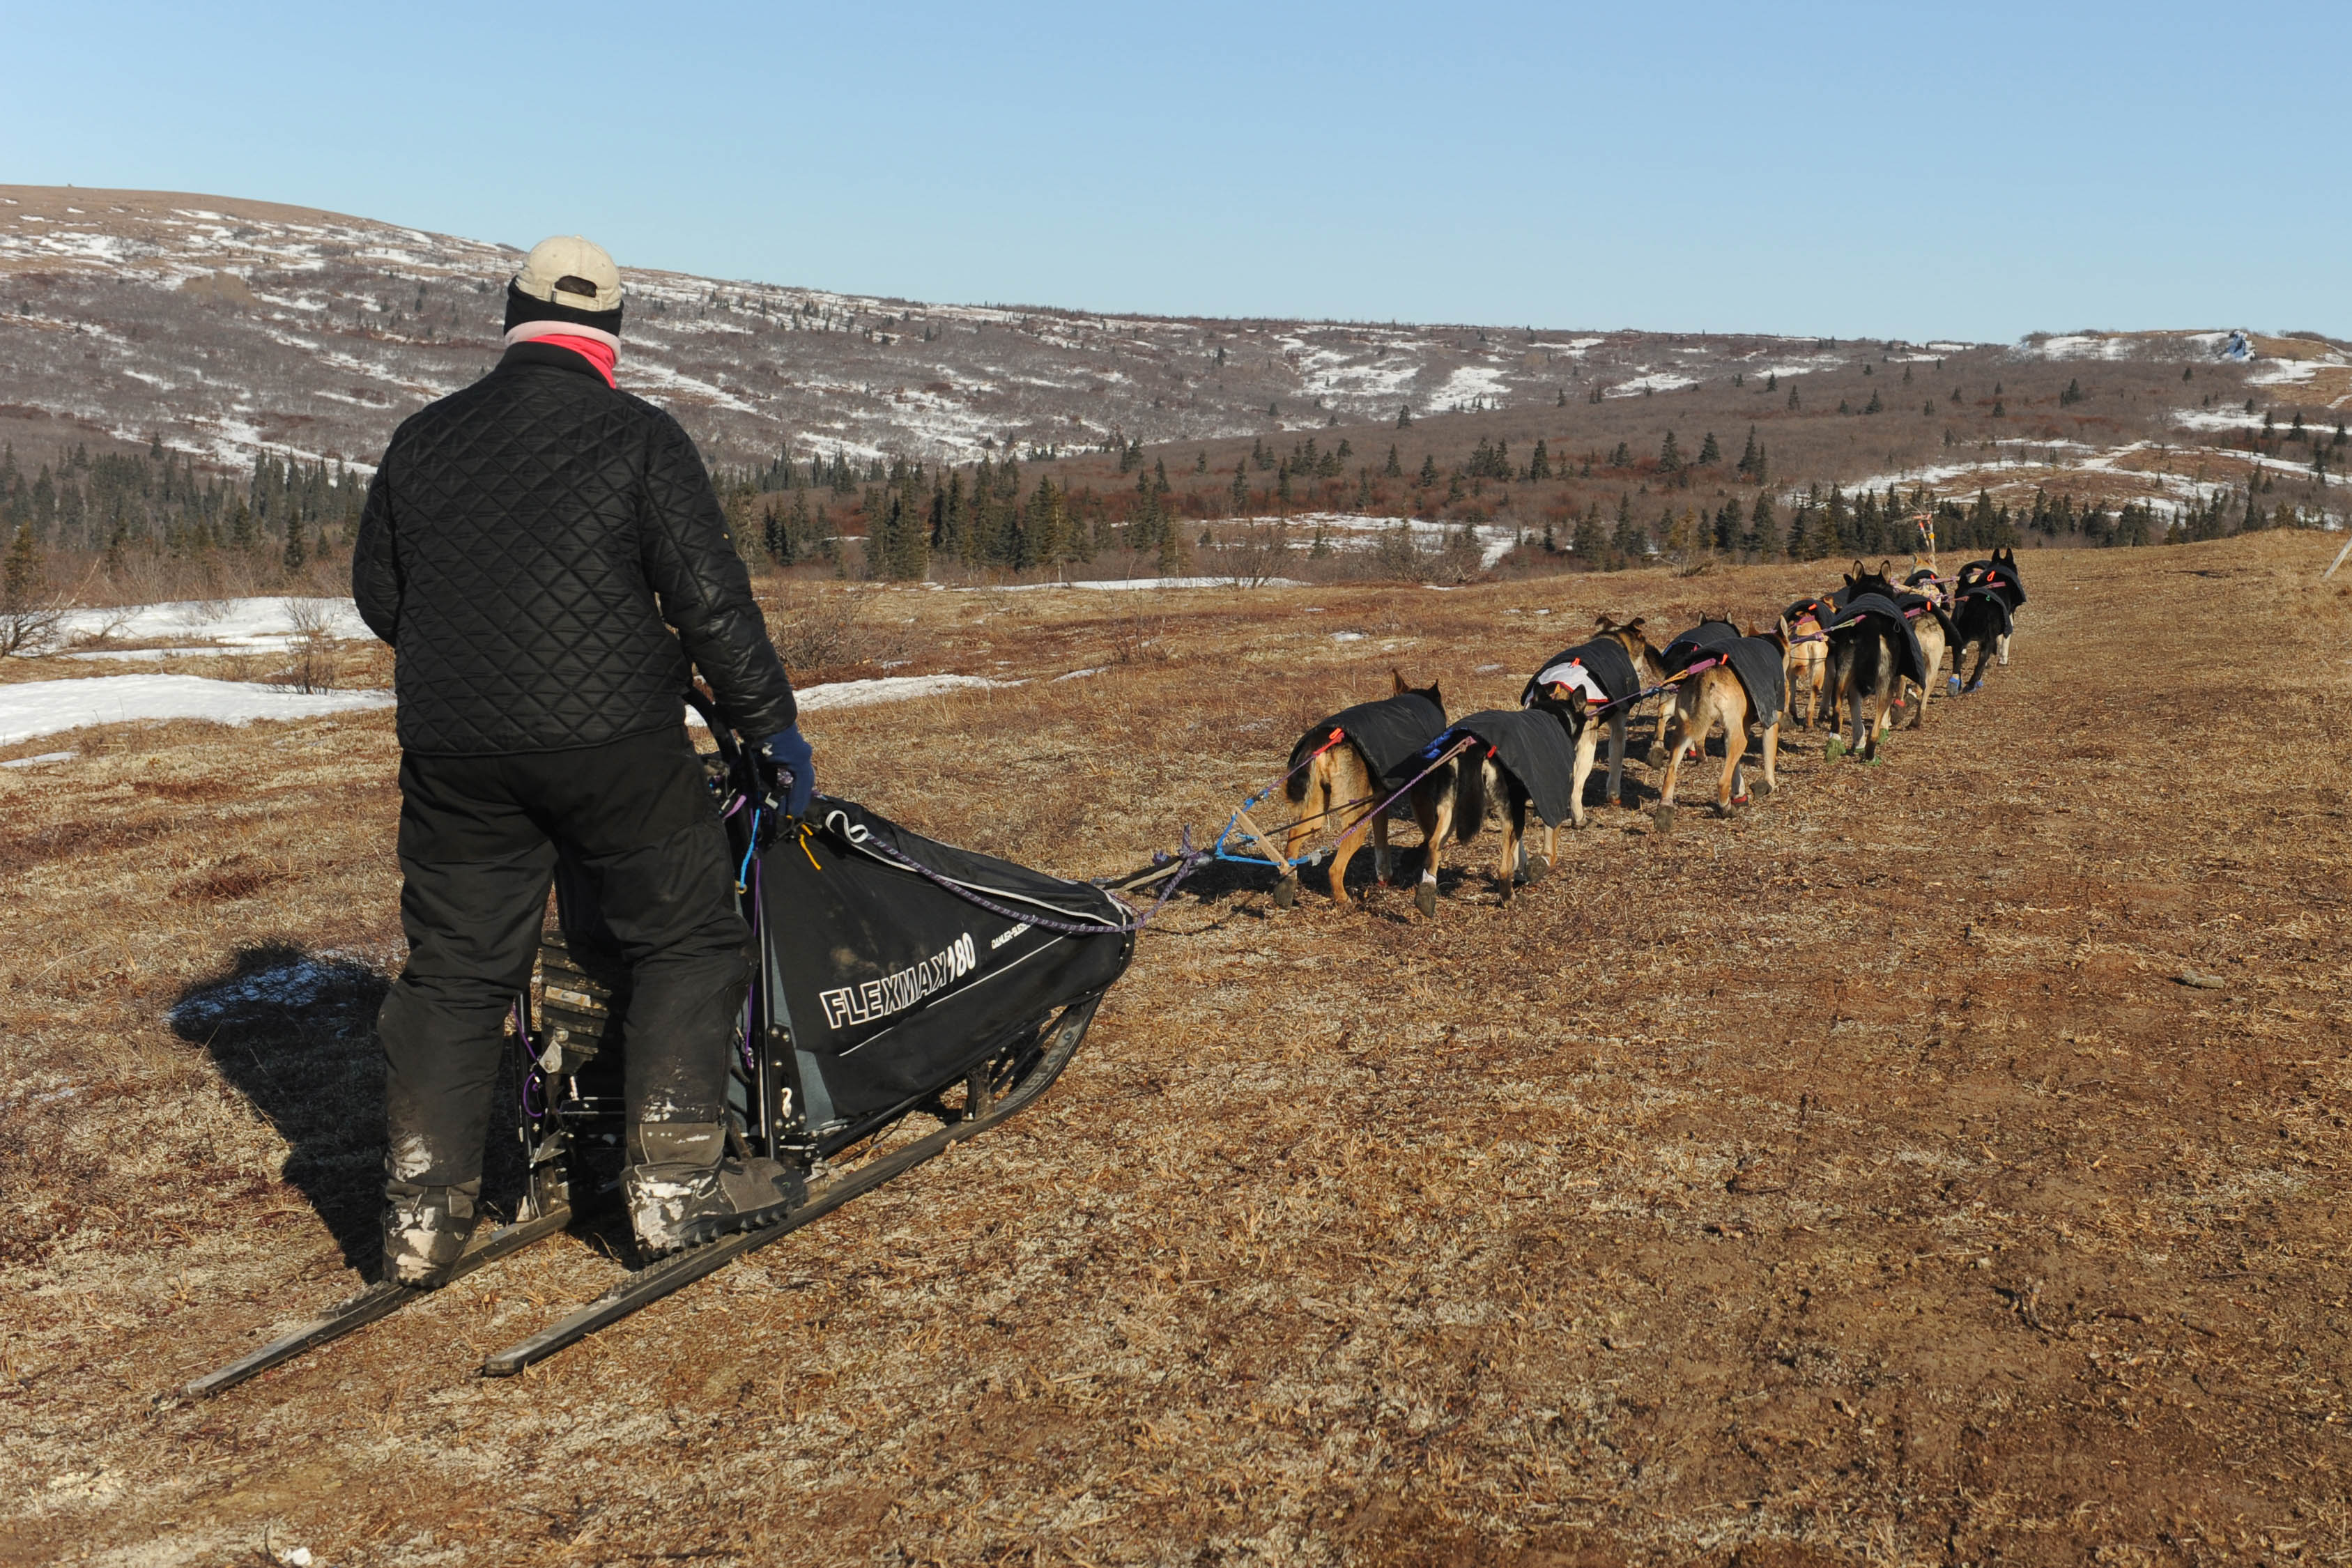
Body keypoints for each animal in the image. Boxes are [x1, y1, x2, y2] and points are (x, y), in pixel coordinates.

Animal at [1279, 672, 1439, 912]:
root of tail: (1326, 740)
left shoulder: (1380, 805)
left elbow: (1382, 846)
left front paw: (1385, 878)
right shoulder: (1417, 793)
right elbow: (1429, 833)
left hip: (1316, 812)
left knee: (1292, 840)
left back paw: (1286, 886)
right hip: (1357, 822)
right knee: (1334, 869)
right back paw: (1343, 900)